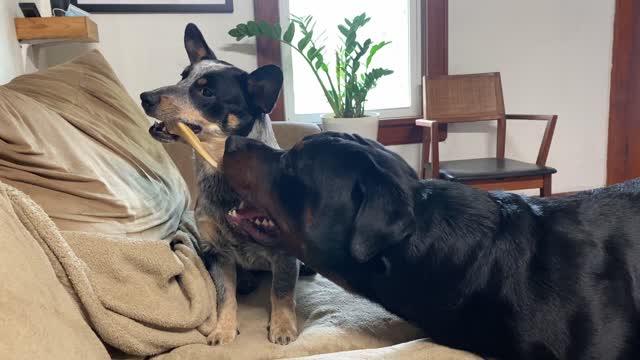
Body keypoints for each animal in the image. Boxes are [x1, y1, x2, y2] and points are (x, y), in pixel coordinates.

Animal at [139, 23, 304, 344]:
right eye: (182, 76)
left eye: (206, 91)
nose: (145, 96)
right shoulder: (216, 252)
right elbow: (224, 295)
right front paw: (223, 330)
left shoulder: (283, 253)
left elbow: (281, 291)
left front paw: (282, 328)